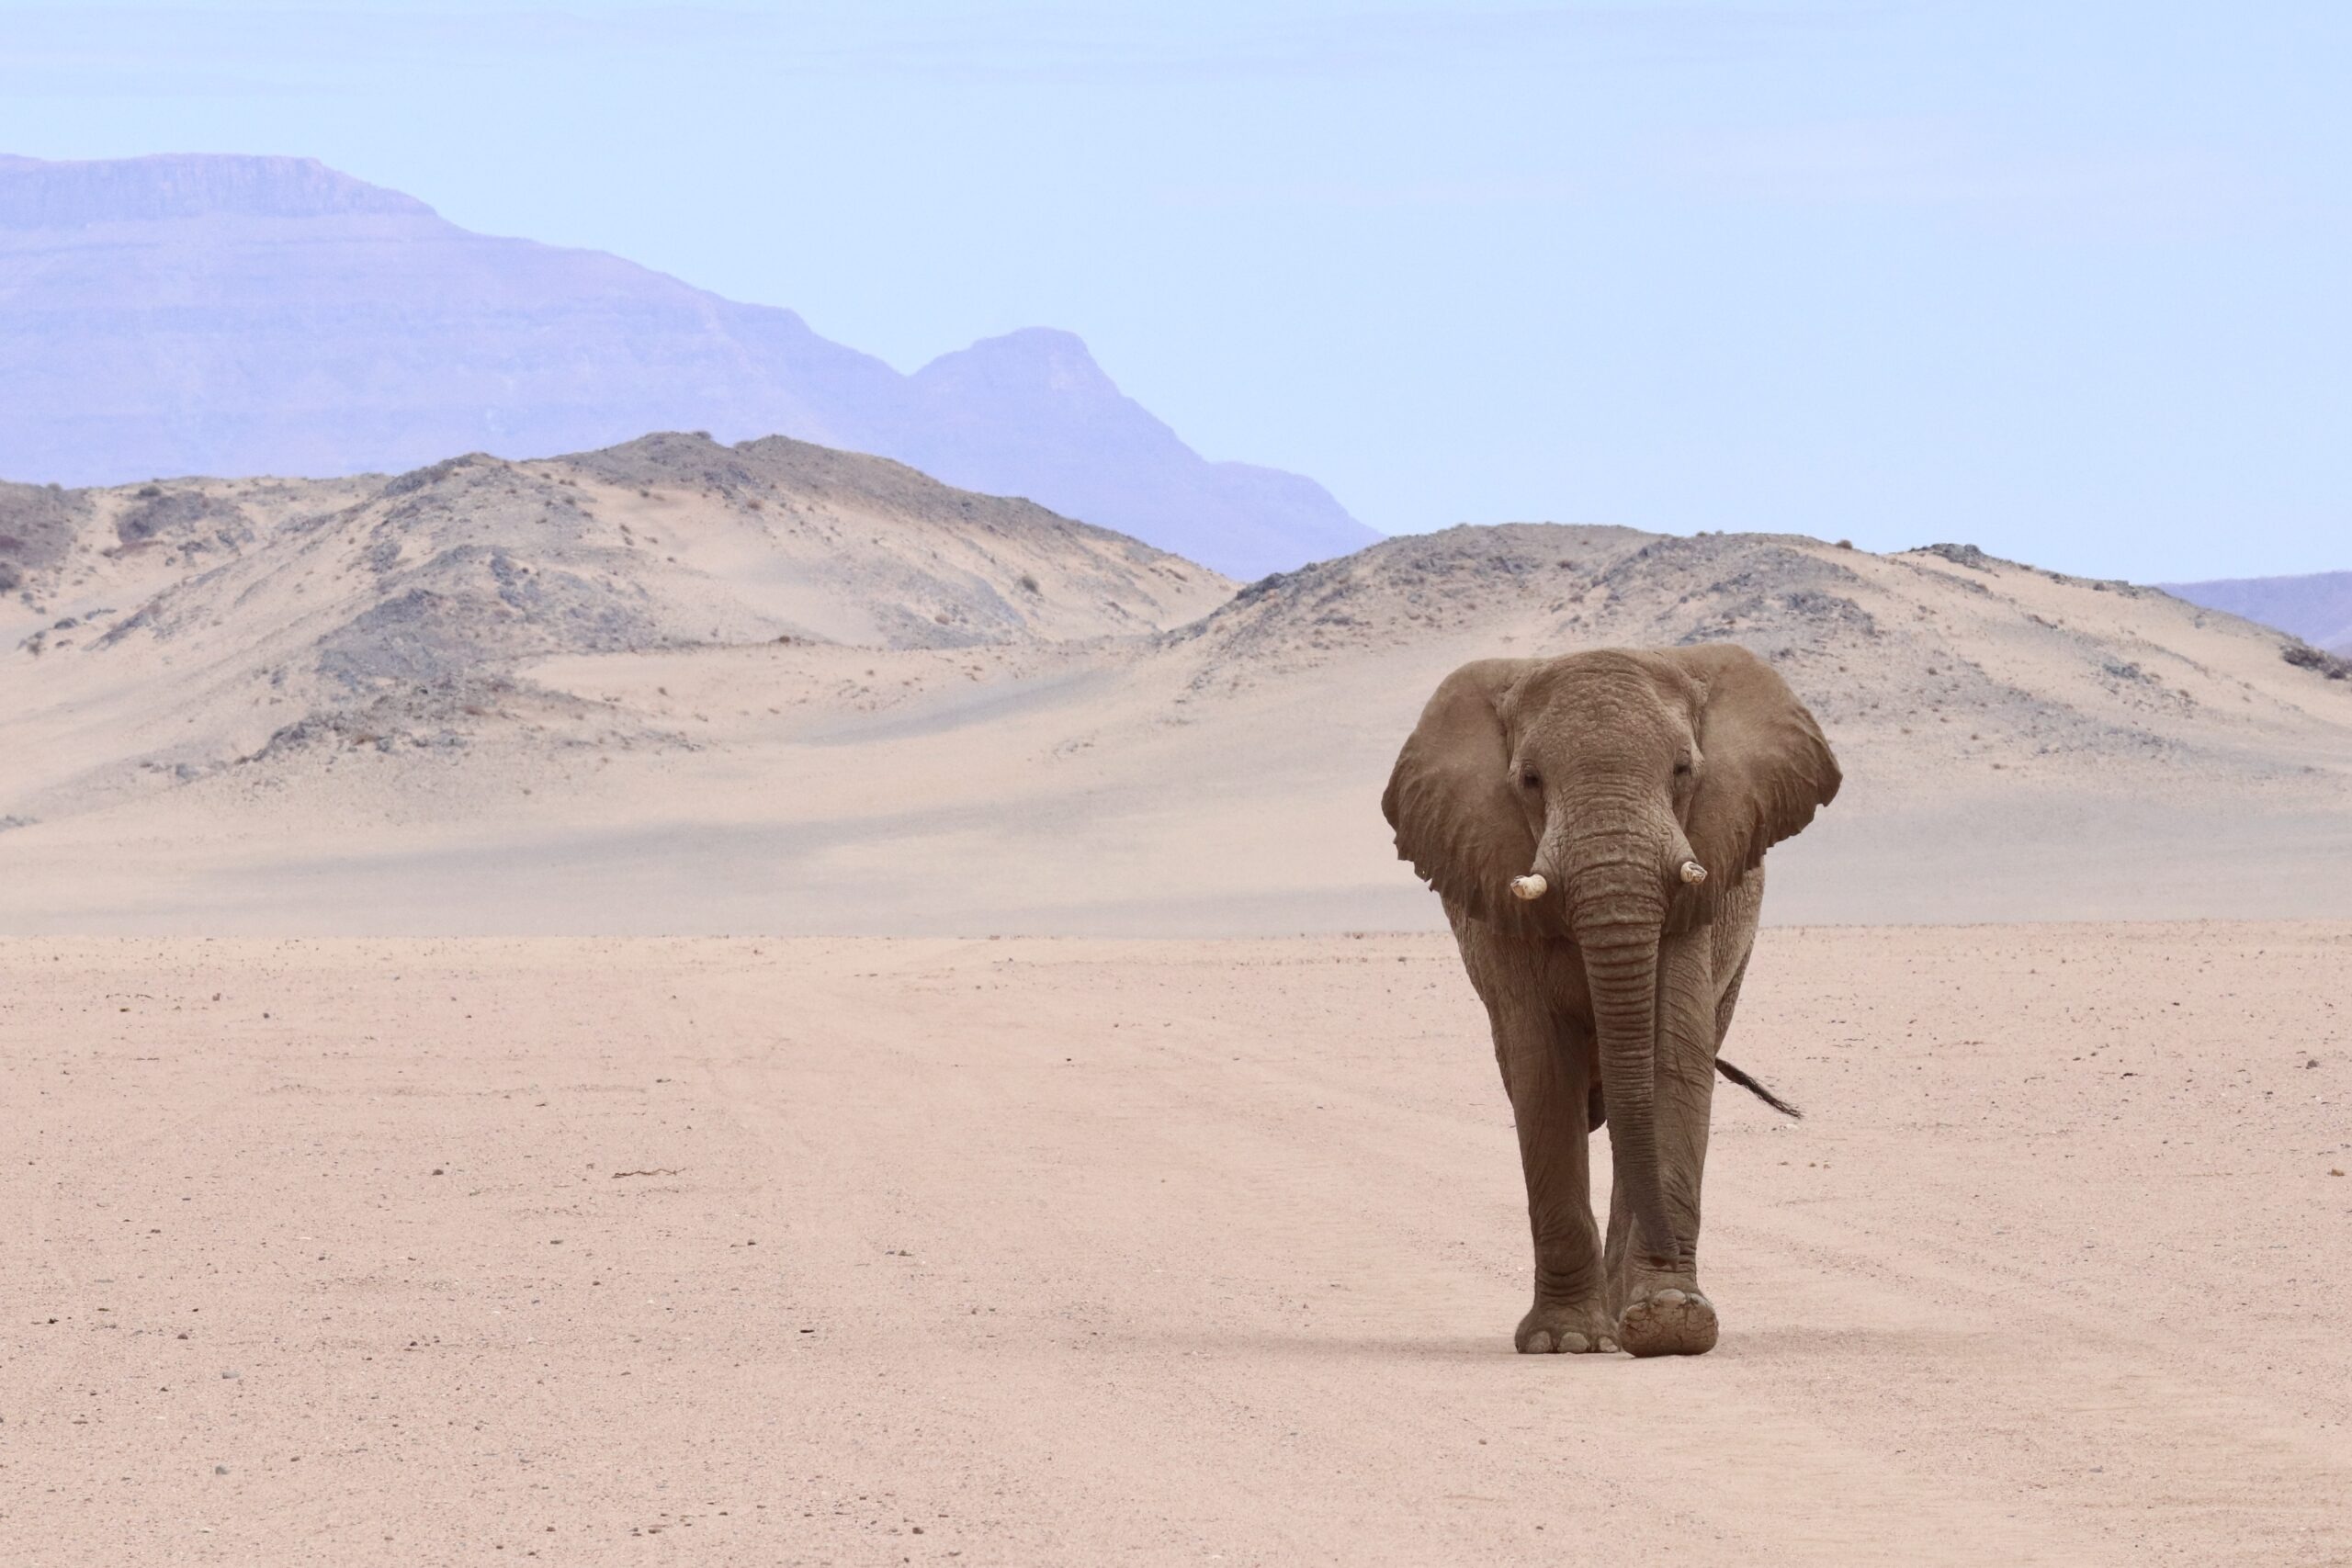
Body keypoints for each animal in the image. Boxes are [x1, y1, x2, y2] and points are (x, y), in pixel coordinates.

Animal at [1382, 645, 1839, 1357]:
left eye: (1683, 770)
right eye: (1530, 780)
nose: (1669, 1268)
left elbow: (1673, 1058)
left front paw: (1672, 1322)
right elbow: (1543, 1074)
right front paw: (1568, 1341)